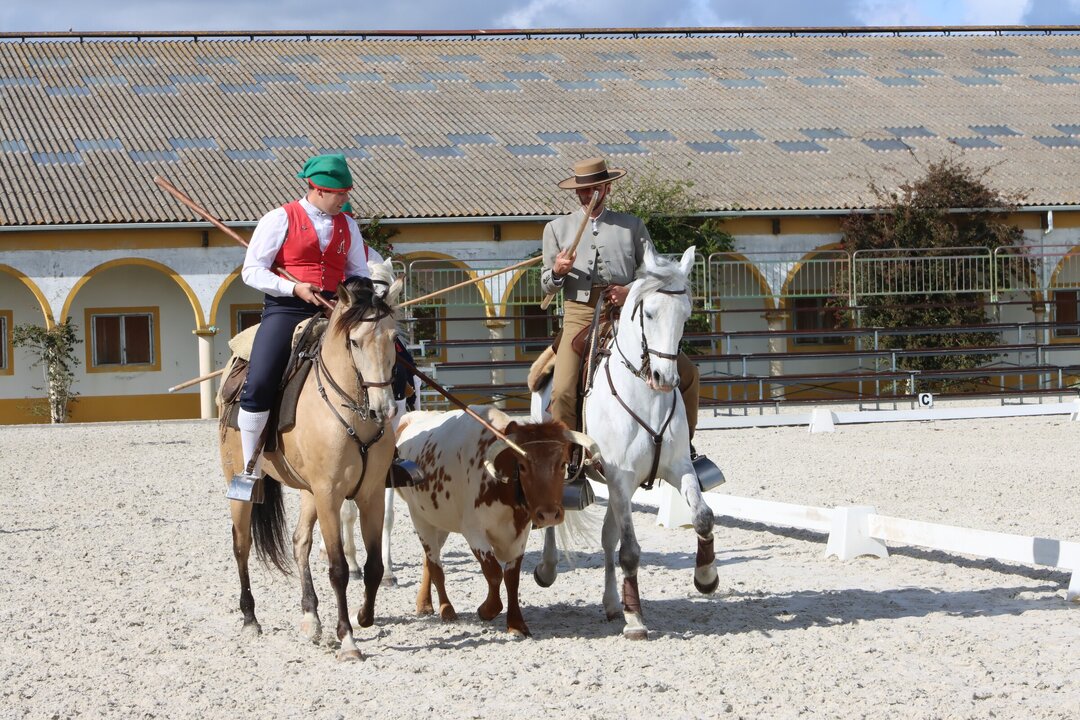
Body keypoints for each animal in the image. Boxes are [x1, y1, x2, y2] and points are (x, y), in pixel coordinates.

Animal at [219, 273, 403, 661]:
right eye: (354, 341)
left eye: (393, 338)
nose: (384, 409)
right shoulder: (330, 496)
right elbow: (338, 569)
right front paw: (348, 638)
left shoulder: (370, 494)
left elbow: (374, 566)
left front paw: (365, 617)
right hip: (242, 489)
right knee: (241, 546)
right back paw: (250, 619)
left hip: (308, 493)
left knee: (299, 542)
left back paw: (310, 617)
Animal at [531, 245, 719, 639]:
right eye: (648, 312)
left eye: (686, 313)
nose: (665, 377)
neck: (645, 394)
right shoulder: (620, 477)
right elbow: (630, 550)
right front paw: (636, 619)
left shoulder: (676, 469)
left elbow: (703, 517)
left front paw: (706, 577)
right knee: (553, 517)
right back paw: (547, 569)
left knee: (607, 539)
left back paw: (612, 604)